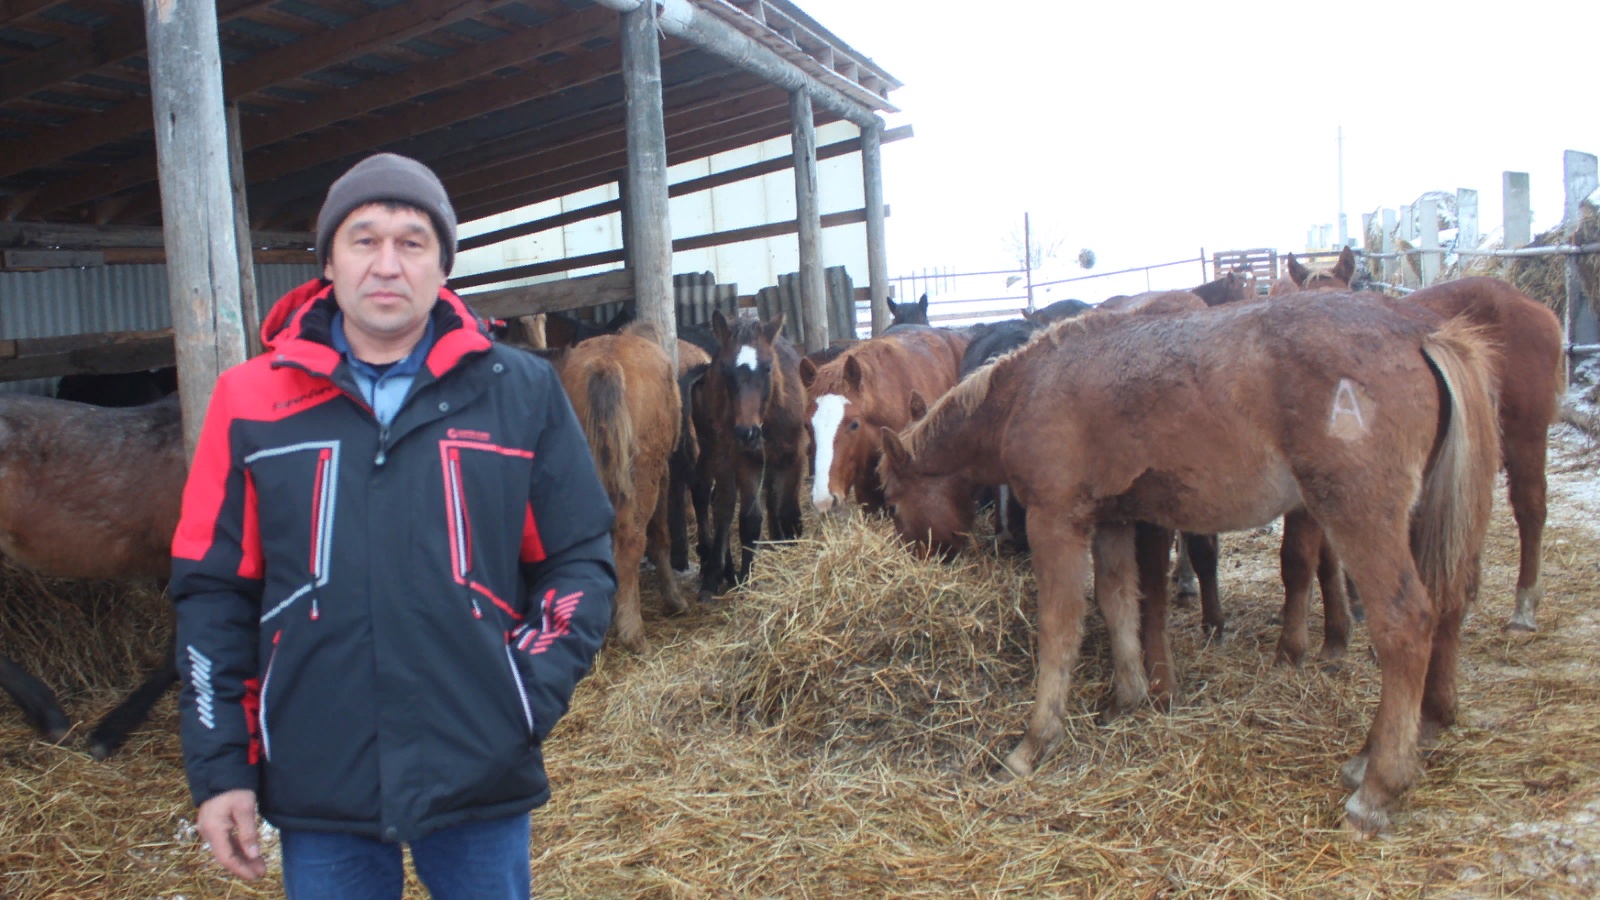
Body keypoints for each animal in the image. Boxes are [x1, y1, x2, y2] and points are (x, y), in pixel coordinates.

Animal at [552, 324, 684, 653]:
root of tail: (606, 363)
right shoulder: (662, 474)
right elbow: (660, 536)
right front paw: (673, 599)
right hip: (644, 478)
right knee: (631, 541)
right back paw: (633, 633)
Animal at [695, 311, 808, 602]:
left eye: (767, 367)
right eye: (725, 370)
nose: (746, 432)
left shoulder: (795, 457)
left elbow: (788, 510)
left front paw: (790, 548)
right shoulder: (746, 461)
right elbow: (749, 520)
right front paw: (745, 577)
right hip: (719, 453)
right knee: (721, 505)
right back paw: (714, 574)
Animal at [878, 292, 1500, 836]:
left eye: (891, 497)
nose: (915, 557)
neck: (1031, 387)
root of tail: (1418, 332)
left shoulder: (1056, 522)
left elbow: (1059, 631)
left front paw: (1033, 744)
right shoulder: (1113, 520)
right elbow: (1118, 604)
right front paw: (1128, 697)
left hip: (1359, 517)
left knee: (1406, 625)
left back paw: (1376, 790)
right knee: (1445, 608)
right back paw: (1381, 750)